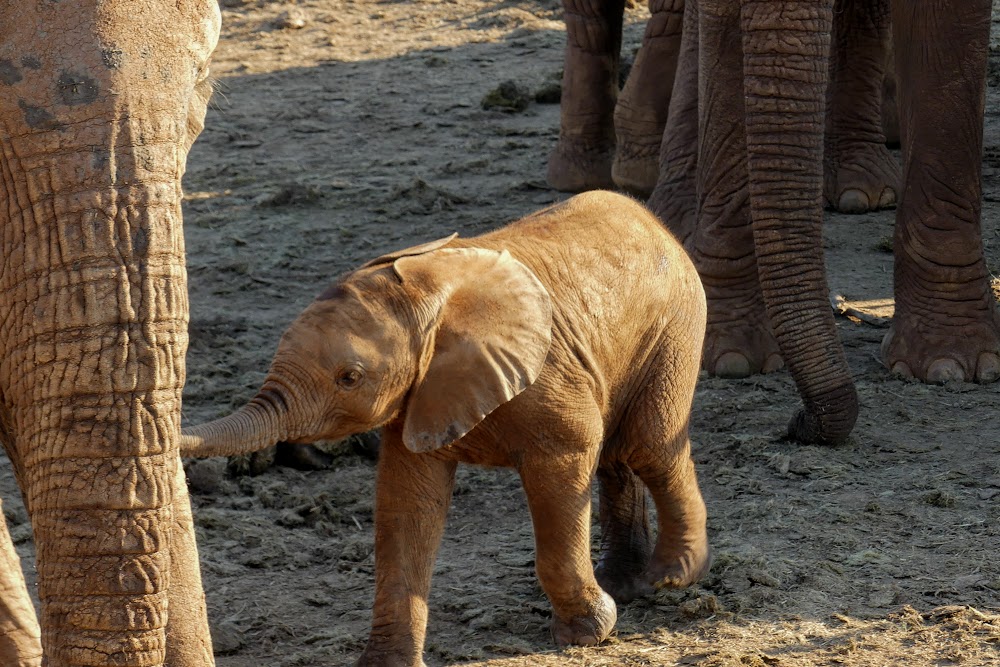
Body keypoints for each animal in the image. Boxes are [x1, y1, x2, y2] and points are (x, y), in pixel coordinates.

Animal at [182, 190, 712, 667]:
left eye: (349, 377)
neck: (426, 296)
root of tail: (651, 218)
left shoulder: (548, 375)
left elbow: (567, 460)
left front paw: (587, 632)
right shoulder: (417, 396)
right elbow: (407, 502)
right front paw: (387, 665)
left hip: (676, 325)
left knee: (647, 446)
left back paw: (671, 578)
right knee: (616, 454)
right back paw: (624, 583)